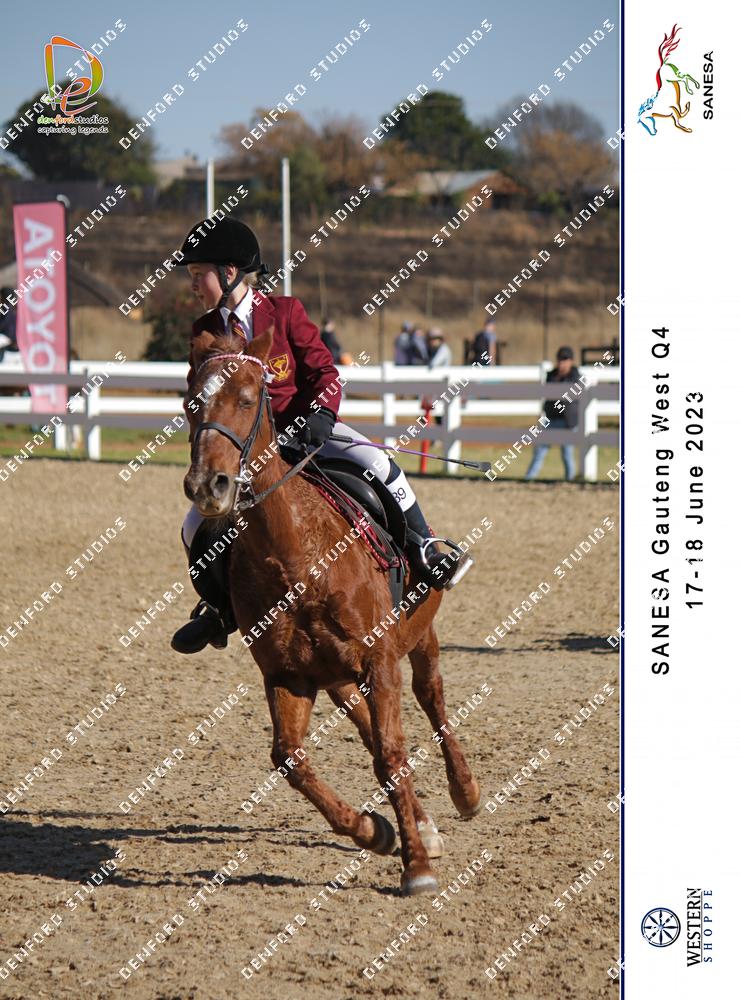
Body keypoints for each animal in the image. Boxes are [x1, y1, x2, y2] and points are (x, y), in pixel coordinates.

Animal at [182, 324, 481, 896]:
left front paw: (417, 867)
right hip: (337, 676)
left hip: (418, 637)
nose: (208, 486)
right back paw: (418, 821)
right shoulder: (287, 675)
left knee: (431, 700)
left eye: (247, 398)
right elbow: (290, 760)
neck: (296, 555)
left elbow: (391, 754)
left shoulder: (380, 660)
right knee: (365, 726)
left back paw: (465, 792)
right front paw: (378, 832)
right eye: (191, 402)